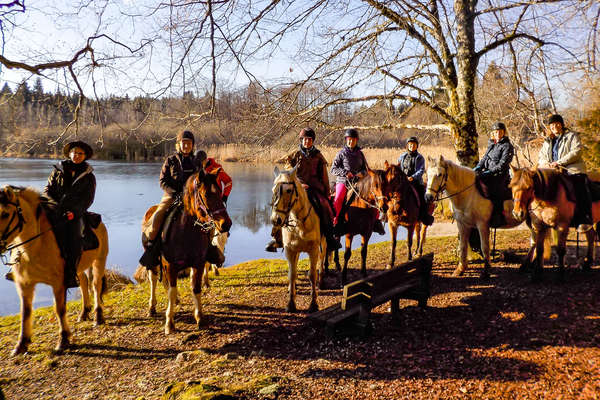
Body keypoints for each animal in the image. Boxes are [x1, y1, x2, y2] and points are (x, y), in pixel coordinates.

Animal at [0, 186, 109, 354]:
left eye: (5, 213)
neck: (35, 246)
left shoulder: (58, 283)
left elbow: (60, 309)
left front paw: (63, 340)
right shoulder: (24, 285)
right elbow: (25, 312)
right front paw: (21, 344)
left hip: (99, 261)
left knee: (96, 286)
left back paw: (98, 317)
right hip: (78, 268)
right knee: (84, 284)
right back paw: (84, 313)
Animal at [142, 172, 231, 334]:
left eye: (220, 193)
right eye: (206, 194)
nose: (226, 224)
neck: (185, 231)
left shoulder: (198, 264)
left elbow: (195, 288)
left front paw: (200, 318)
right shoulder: (170, 265)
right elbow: (171, 291)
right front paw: (169, 323)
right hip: (153, 262)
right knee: (153, 280)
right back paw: (152, 307)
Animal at [270, 166, 326, 312]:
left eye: (289, 190)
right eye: (273, 190)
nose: (276, 220)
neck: (300, 223)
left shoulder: (313, 250)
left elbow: (312, 274)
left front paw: (313, 304)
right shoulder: (290, 250)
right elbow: (292, 274)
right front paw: (291, 303)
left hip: (323, 244)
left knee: (322, 260)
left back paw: (321, 282)